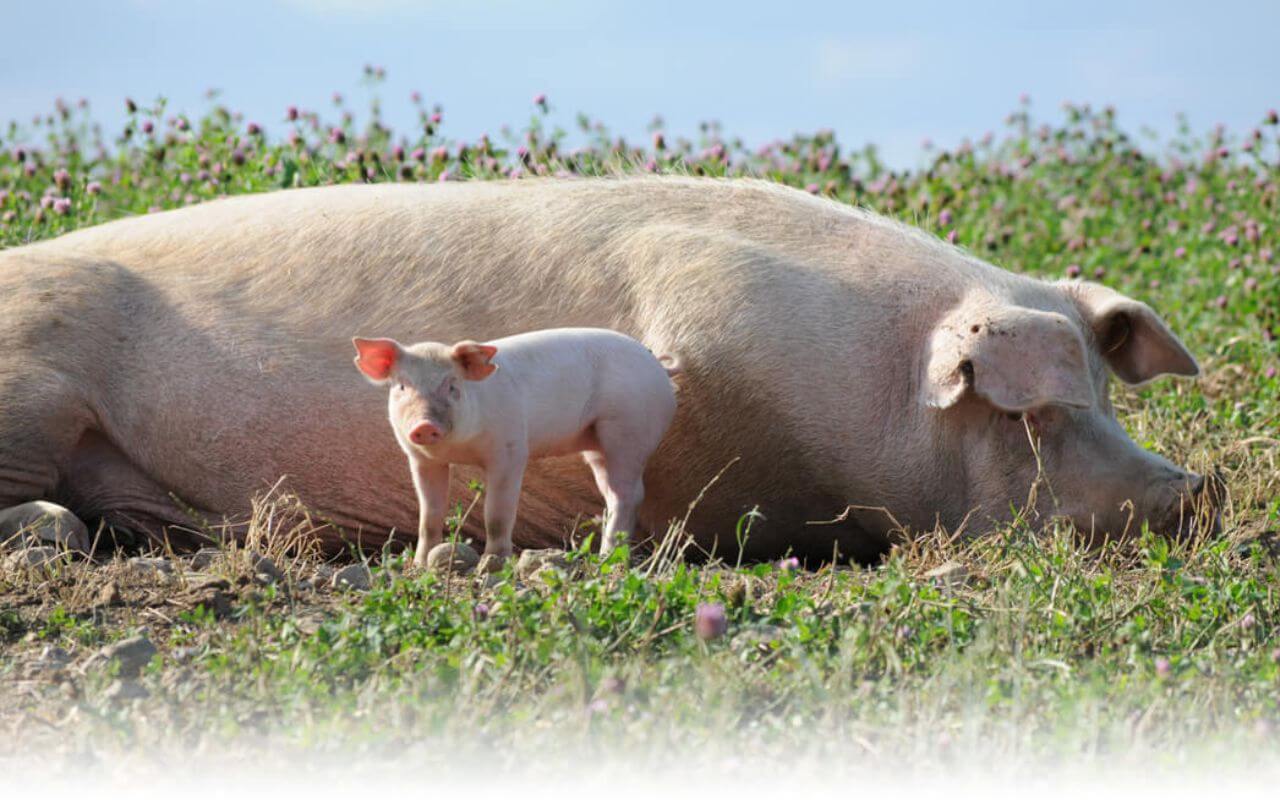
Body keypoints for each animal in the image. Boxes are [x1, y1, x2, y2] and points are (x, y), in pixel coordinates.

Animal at [350, 327, 680, 558]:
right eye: (401, 386)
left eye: (452, 386)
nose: (424, 425)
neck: (459, 448)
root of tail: (657, 364)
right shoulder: (421, 460)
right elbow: (429, 514)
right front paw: (420, 564)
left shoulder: (510, 451)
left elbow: (497, 513)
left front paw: (492, 564)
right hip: (598, 443)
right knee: (613, 493)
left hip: (631, 429)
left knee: (630, 494)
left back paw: (609, 558)